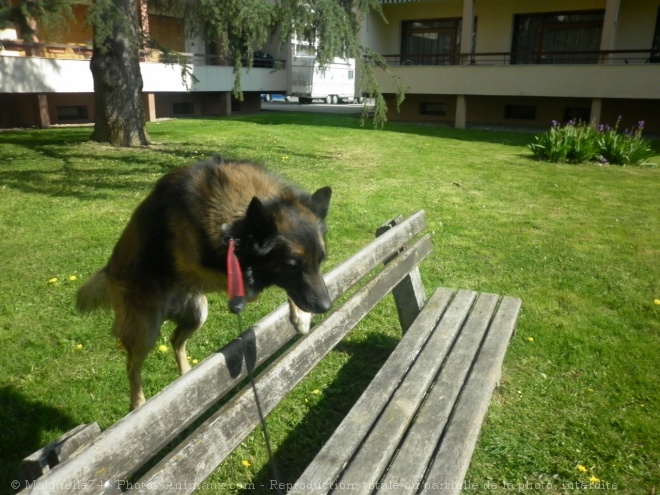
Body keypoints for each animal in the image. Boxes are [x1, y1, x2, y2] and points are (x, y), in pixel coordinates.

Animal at [78, 159, 332, 410]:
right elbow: (247, 282)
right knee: (132, 367)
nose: (326, 306)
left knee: (175, 341)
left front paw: (300, 316)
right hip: (146, 329)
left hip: (197, 313)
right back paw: (138, 404)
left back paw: (186, 375)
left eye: (320, 260)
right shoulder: (191, 264)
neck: (236, 224)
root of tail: (109, 270)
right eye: (292, 265)